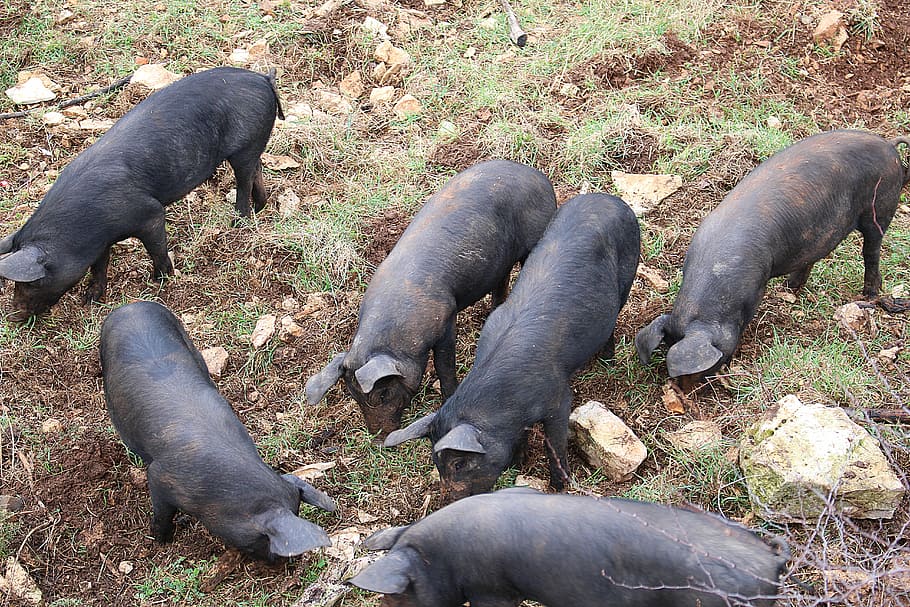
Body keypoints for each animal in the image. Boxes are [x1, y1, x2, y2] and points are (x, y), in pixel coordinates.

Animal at [0, 66, 283, 322]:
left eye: (31, 283)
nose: (13, 317)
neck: (84, 230)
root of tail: (262, 78)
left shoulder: (149, 213)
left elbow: (156, 248)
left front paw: (160, 280)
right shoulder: (100, 242)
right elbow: (99, 266)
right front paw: (90, 299)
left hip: (246, 144)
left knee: (245, 180)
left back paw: (239, 222)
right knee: (257, 169)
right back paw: (261, 207)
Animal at [100, 300, 334, 562]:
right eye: (265, 538)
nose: (286, 561)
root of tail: (129, 306)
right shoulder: (159, 476)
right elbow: (162, 513)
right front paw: (160, 540)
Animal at [305, 160, 557, 436]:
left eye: (382, 394)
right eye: (354, 396)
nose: (380, 437)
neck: (396, 337)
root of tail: (539, 177)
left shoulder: (446, 319)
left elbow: (443, 365)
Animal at [383, 193, 640, 501]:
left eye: (459, 463)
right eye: (436, 462)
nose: (452, 501)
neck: (507, 405)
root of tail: (610, 199)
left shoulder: (558, 398)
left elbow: (555, 444)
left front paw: (559, 487)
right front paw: (520, 463)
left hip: (628, 273)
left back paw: (606, 361)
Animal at [636, 130, 910, 388]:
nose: (686, 390)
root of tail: (888, 145)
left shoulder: (755, 287)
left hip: (882, 205)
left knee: (872, 250)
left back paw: (870, 295)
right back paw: (789, 288)